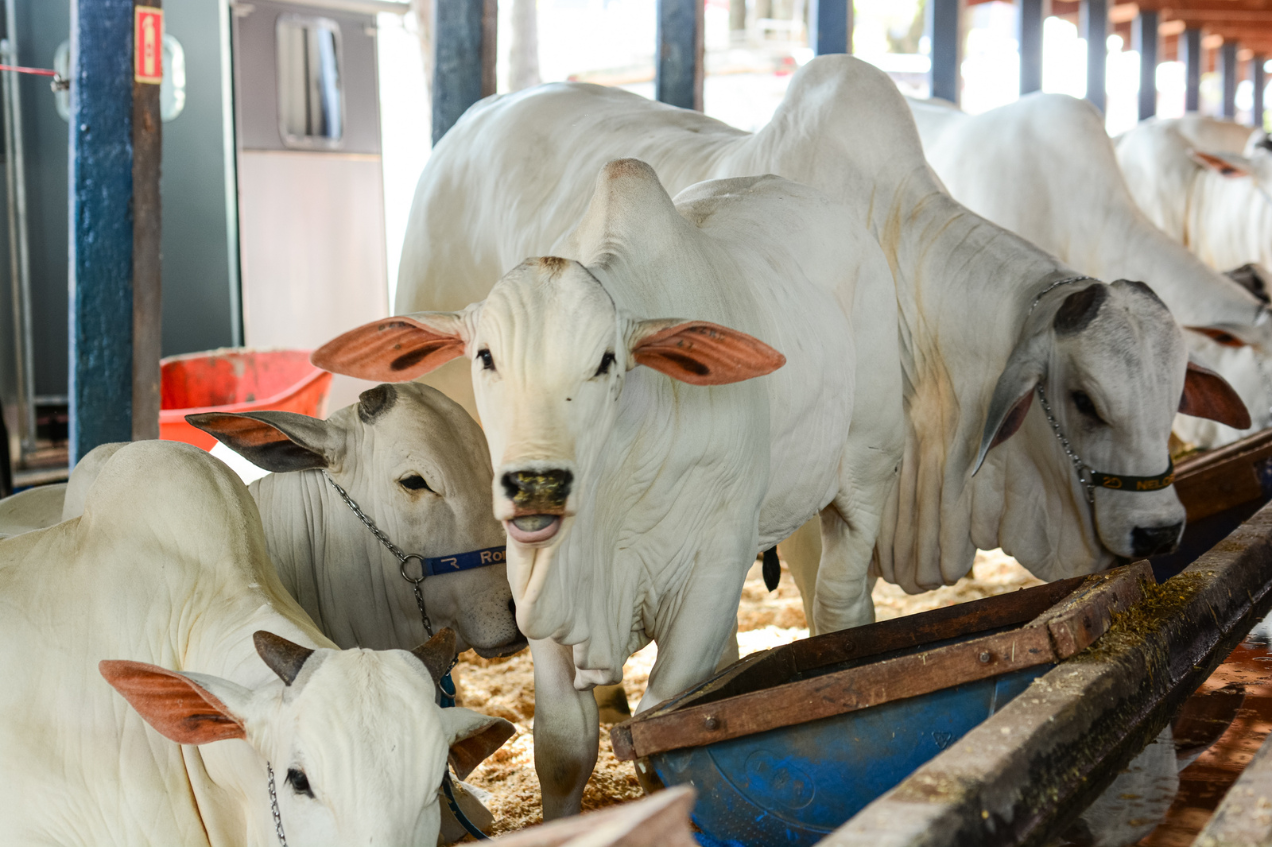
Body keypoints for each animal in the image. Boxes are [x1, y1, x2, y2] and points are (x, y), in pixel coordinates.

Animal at [318, 161, 910, 813]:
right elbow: (564, 747)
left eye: (607, 361)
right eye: (485, 356)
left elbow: (663, 726)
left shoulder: (714, 566)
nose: (536, 482)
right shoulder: (541, 591)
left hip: (867, 471)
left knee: (841, 599)